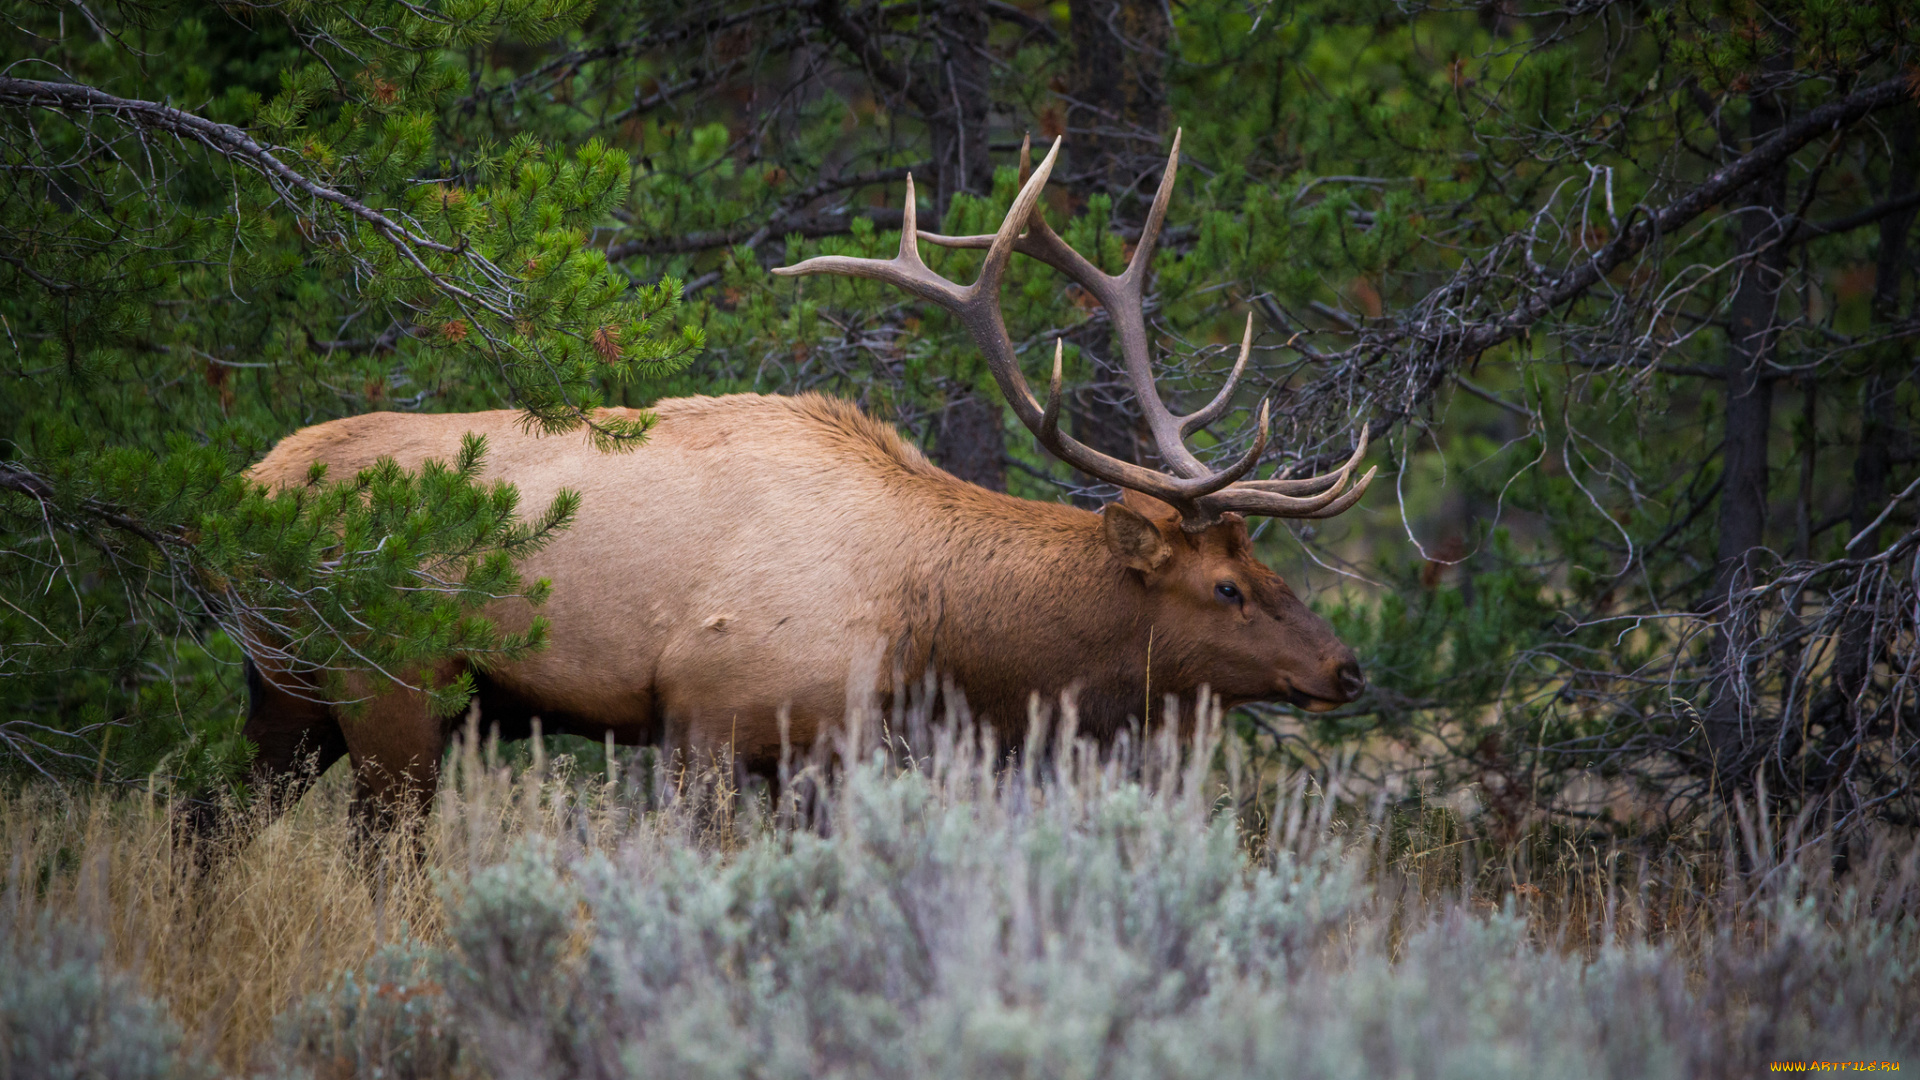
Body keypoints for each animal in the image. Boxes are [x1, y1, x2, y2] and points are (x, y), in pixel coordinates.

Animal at [224, 134, 1374, 837]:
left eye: (1264, 566)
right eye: (1226, 586)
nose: (1346, 667)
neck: (930, 626)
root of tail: (251, 483)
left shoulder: (833, 750)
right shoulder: (707, 714)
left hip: (285, 689)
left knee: (215, 826)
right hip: (389, 683)